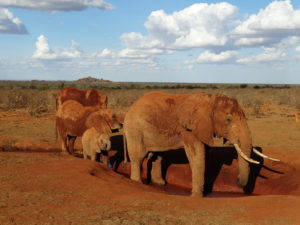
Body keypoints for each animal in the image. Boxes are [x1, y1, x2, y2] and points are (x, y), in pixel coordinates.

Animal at [123, 91, 278, 197]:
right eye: (228, 120)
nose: (238, 181)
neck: (210, 101)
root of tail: (130, 107)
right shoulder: (189, 128)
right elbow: (197, 155)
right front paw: (197, 196)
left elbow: (206, 154)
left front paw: (207, 190)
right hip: (135, 129)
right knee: (138, 156)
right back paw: (137, 183)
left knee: (158, 156)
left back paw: (160, 184)